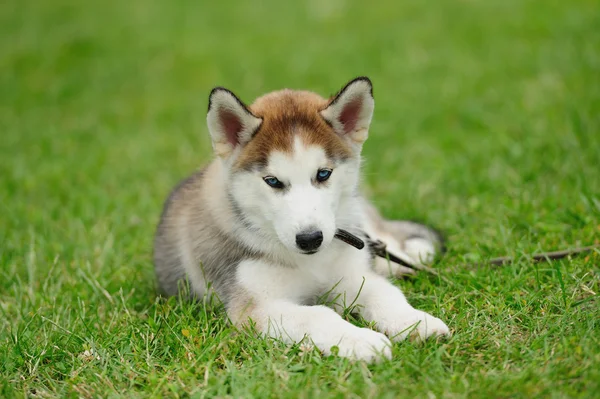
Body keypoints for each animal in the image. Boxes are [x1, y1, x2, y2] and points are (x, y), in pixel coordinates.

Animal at [155, 77, 450, 362]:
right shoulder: (255, 306)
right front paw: (363, 341)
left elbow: (385, 293)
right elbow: (318, 315)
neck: (311, 263)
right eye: (272, 181)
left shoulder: (353, 275)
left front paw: (416, 322)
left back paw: (415, 253)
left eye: (323, 174)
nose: (310, 239)